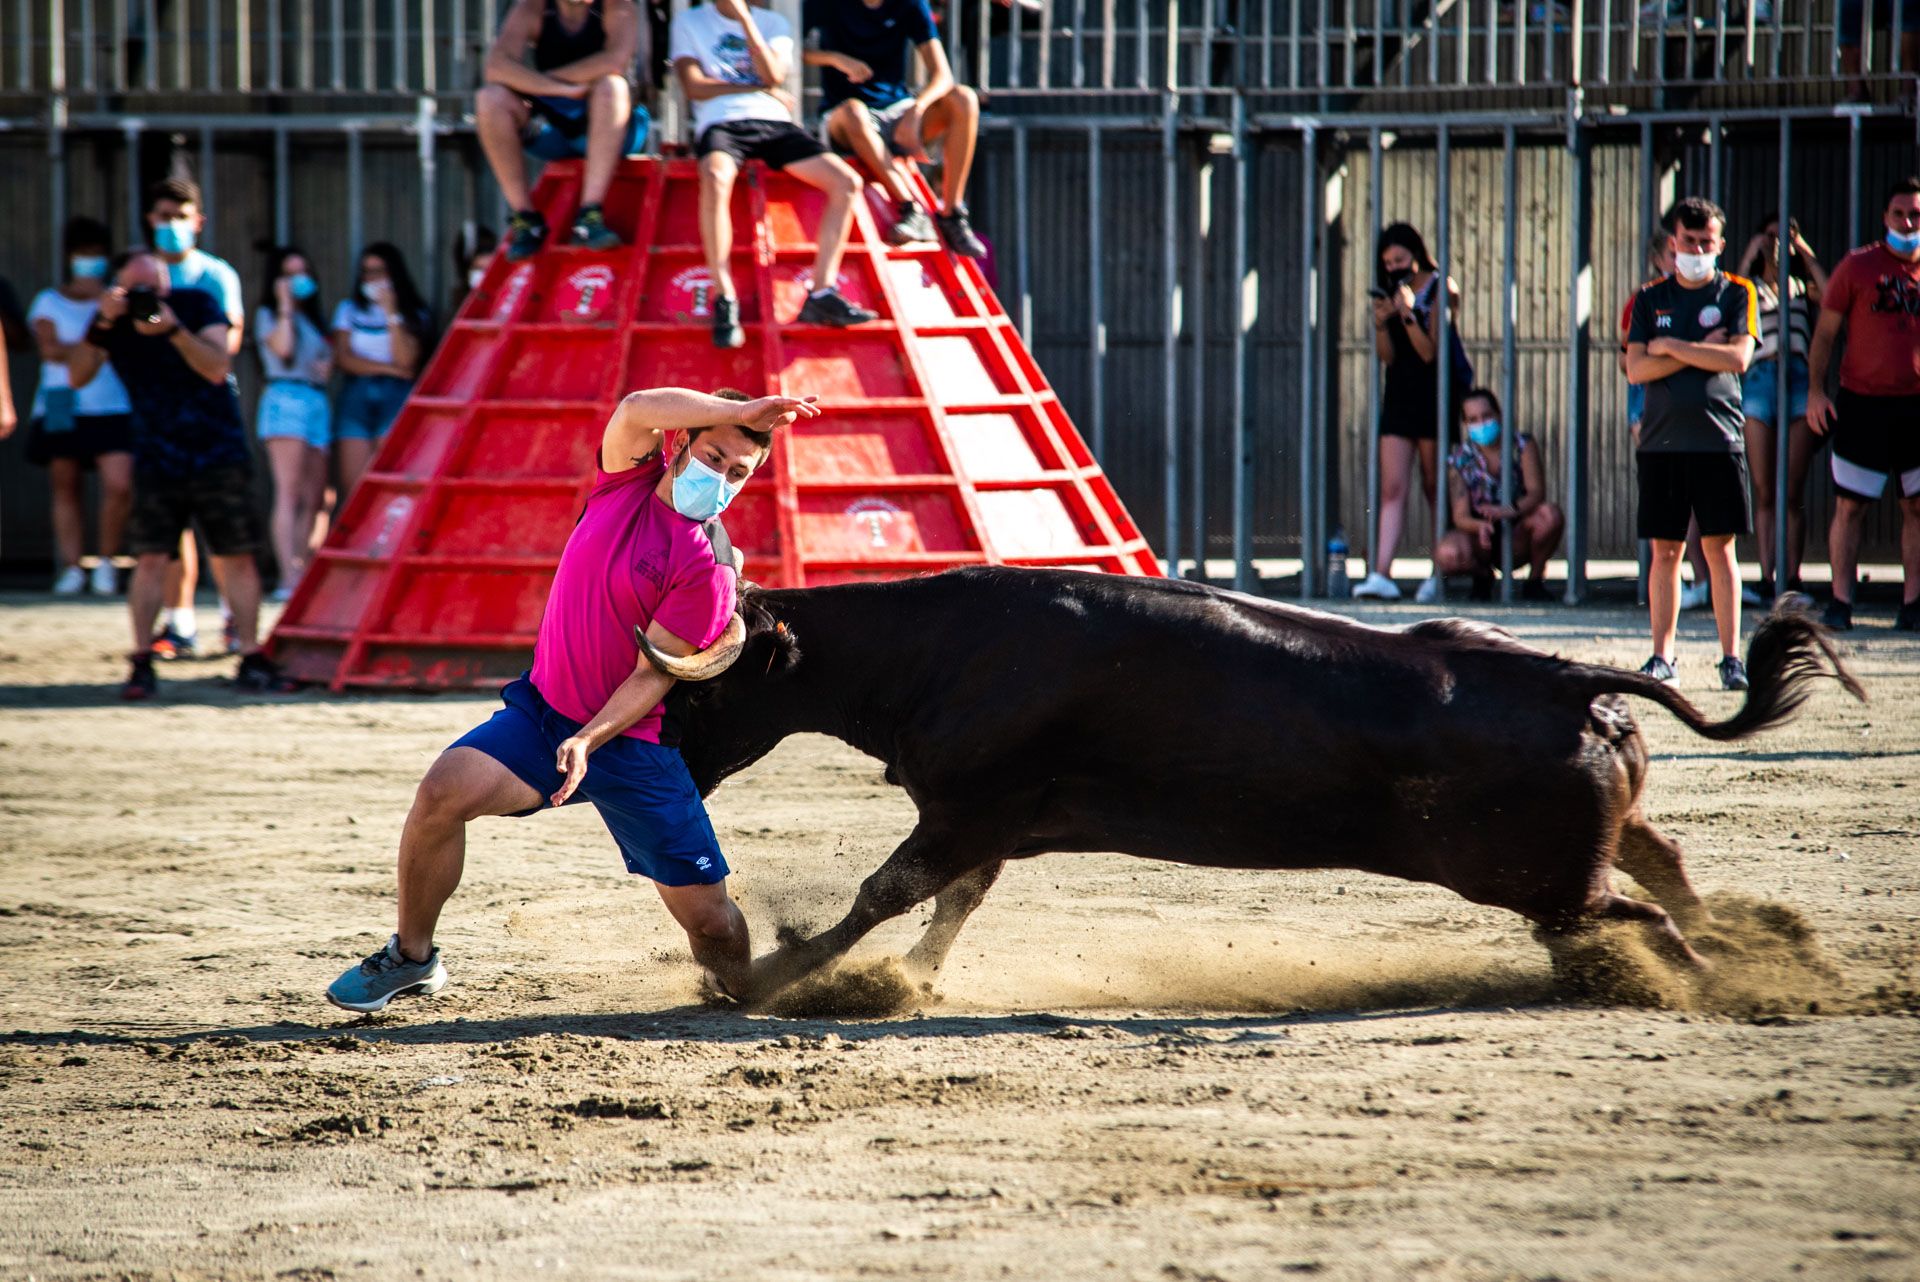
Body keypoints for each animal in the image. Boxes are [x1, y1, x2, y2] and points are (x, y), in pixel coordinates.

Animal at [645, 568, 1858, 997]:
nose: (663, 764)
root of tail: (1565, 675)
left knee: (1636, 909)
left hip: (1530, 876)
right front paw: (905, 982)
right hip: (1575, 847)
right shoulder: (986, 819)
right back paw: (1760, 951)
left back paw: (1718, 980)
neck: (936, 644)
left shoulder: (966, 809)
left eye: (698, 695)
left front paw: (770, 976)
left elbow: (888, 893)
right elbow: (951, 903)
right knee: (1662, 860)